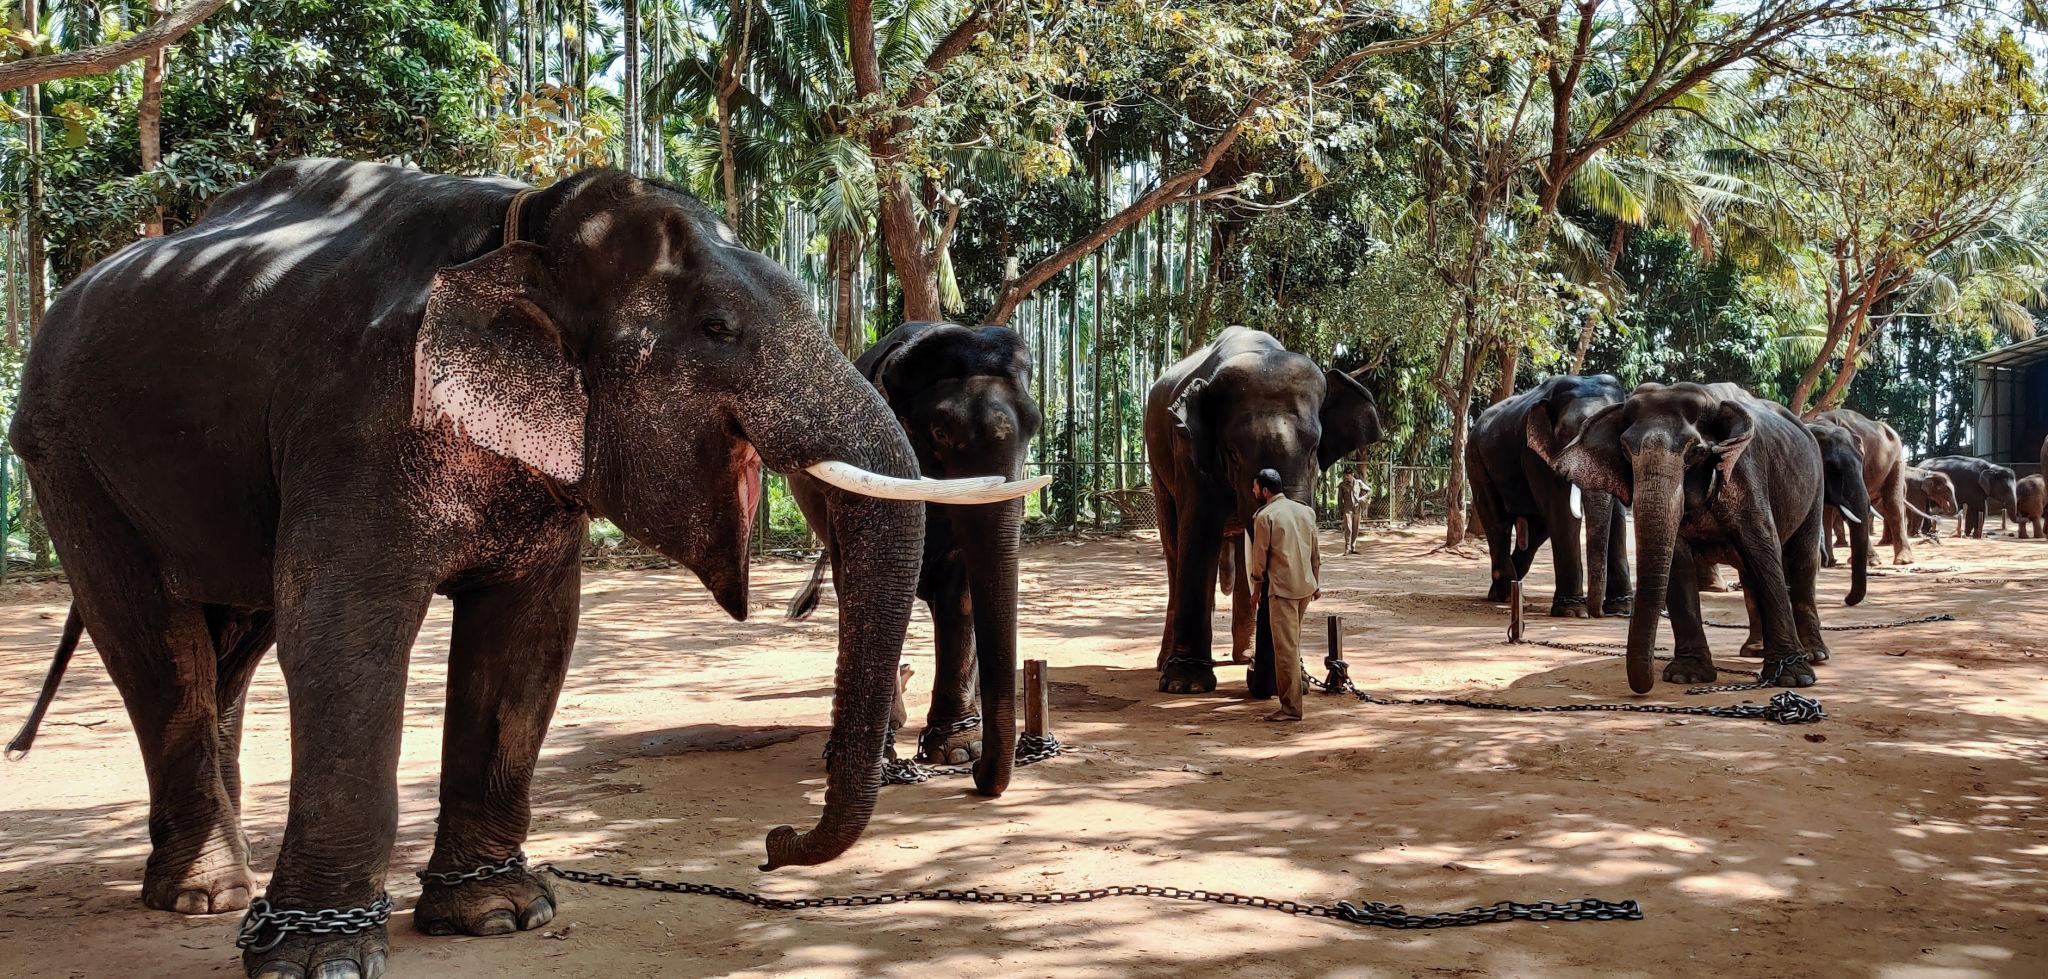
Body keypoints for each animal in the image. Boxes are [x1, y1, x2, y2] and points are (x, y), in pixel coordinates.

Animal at [787, 321, 1047, 790]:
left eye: (1034, 428)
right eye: (940, 433)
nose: (977, 775)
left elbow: (961, 592)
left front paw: (960, 751)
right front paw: (876, 755)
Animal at [1144, 326, 1383, 694]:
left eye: (1314, 448)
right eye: (1232, 452)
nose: (1258, 682)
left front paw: (1297, 681)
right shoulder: (1187, 455)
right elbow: (1197, 536)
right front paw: (1187, 684)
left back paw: (1243, 656)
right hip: (1158, 468)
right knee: (1174, 548)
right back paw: (1166, 665)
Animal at [1473, 373, 1633, 618]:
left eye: (1619, 438)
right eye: (1567, 435)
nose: (1597, 614)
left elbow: (1617, 516)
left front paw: (1622, 609)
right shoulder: (1536, 455)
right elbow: (1562, 511)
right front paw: (1572, 611)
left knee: (1537, 531)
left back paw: (1509, 590)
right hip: (1475, 458)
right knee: (1497, 522)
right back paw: (1505, 594)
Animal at [1547, 382, 1827, 693]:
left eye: (1696, 452)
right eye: (1625, 450)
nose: (1643, 687)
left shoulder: (1745, 473)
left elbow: (1764, 551)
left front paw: (1793, 678)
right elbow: (1678, 562)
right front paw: (1687, 676)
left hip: (1816, 485)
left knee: (1801, 561)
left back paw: (1814, 655)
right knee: (1749, 574)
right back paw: (1754, 651)